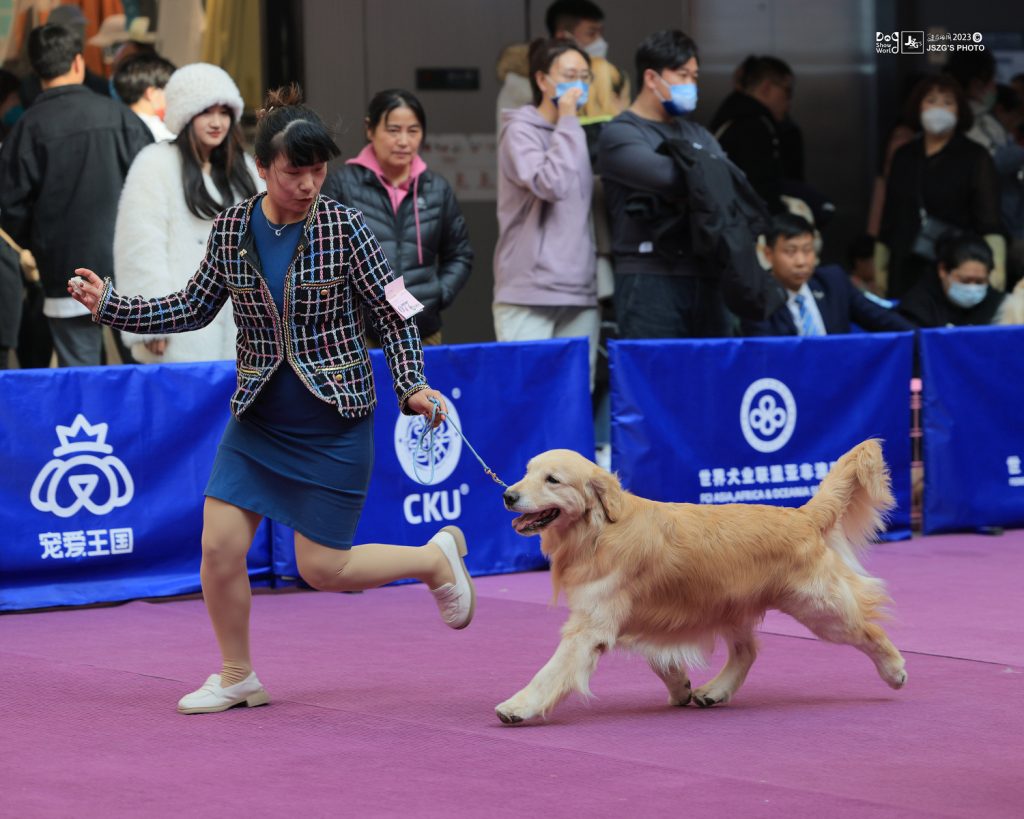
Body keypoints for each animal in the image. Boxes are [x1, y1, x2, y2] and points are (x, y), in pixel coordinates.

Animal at [496, 439, 906, 724]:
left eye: (552, 480)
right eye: (527, 471)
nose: (507, 494)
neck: (598, 531)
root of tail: (802, 515)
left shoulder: (590, 626)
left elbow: (552, 671)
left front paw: (518, 706)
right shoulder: (639, 616)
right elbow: (660, 659)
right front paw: (680, 686)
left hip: (819, 608)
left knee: (868, 630)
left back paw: (895, 670)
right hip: (729, 605)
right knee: (747, 651)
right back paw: (715, 691)